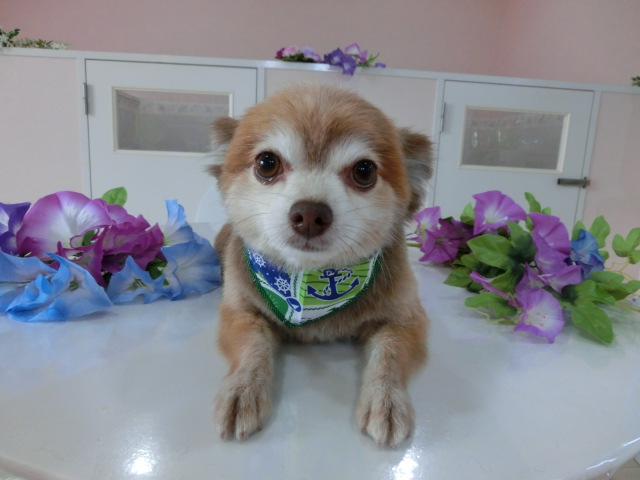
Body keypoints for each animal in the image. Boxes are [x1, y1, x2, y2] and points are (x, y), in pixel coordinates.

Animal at [209, 84, 432, 447]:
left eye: (364, 171)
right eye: (267, 163)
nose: (310, 213)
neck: (305, 278)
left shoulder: (406, 320)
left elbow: (389, 354)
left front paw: (386, 399)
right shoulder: (240, 312)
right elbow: (251, 346)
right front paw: (242, 389)